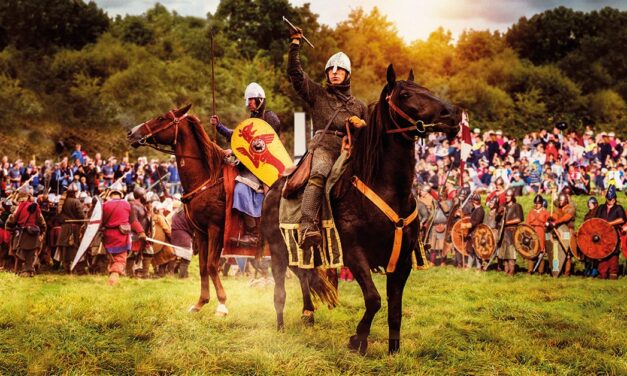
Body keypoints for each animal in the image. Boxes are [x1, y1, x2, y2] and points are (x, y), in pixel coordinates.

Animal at [126, 107, 232, 316]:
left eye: (161, 118)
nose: (132, 133)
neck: (207, 178)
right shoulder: (201, 233)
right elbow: (203, 267)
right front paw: (200, 303)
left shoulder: (215, 229)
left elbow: (212, 265)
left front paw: (222, 305)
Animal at [260, 64, 462, 356]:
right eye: (404, 94)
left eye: (425, 89)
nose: (454, 114)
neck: (386, 187)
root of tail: (275, 187)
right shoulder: (355, 254)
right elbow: (374, 299)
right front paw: (359, 340)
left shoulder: (401, 261)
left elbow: (395, 311)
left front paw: (393, 351)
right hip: (278, 250)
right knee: (280, 290)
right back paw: (281, 328)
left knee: (304, 276)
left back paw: (308, 315)